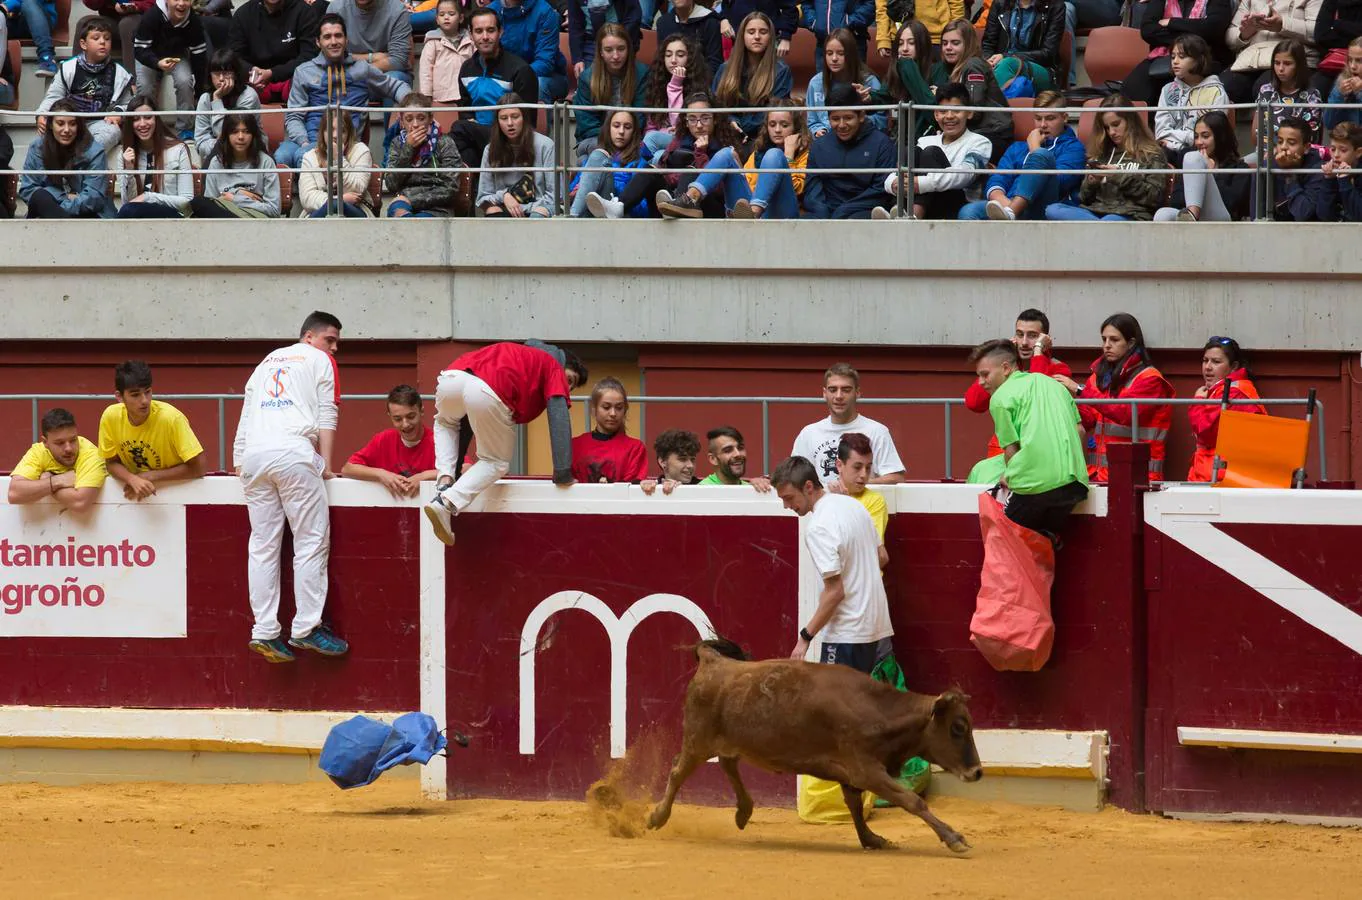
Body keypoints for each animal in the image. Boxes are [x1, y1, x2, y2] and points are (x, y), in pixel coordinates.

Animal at [645, 639, 980, 849]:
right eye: (958, 727)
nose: (976, 772)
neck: (879, 710)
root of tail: (713, 660)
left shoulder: (852, 775)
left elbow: (854, 806)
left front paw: (871, 840)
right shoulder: (867, 770)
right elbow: (912, 800)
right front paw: (954, 838)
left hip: (729, 740)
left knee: (728, 764)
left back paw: (744, 812)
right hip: (697, 741)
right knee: (677, 773)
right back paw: (657, 817)